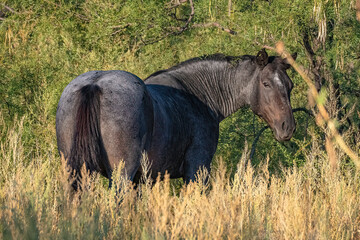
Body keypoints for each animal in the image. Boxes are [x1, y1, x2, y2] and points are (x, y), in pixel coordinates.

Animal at [56, 47, 296, 188]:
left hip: (76, 174)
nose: (288, 127)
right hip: (120, 177)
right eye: (266, 84)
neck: (198, 96)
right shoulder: (197, 171)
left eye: (290, 85)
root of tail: (94, 84)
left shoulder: (143, 181)